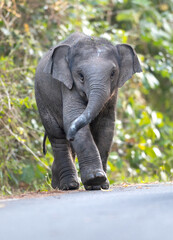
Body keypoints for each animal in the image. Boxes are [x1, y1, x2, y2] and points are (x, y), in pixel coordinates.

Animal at [34, 31, 142, 190]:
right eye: (80, 75)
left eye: (113, 73)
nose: (71, 135)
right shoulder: (67, 85)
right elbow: (73, 117)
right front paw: (95, 179)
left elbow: (106, 126)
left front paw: (102, 184)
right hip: (41, 99)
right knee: (57, 137)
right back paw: (69, 185)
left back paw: (59, 184)